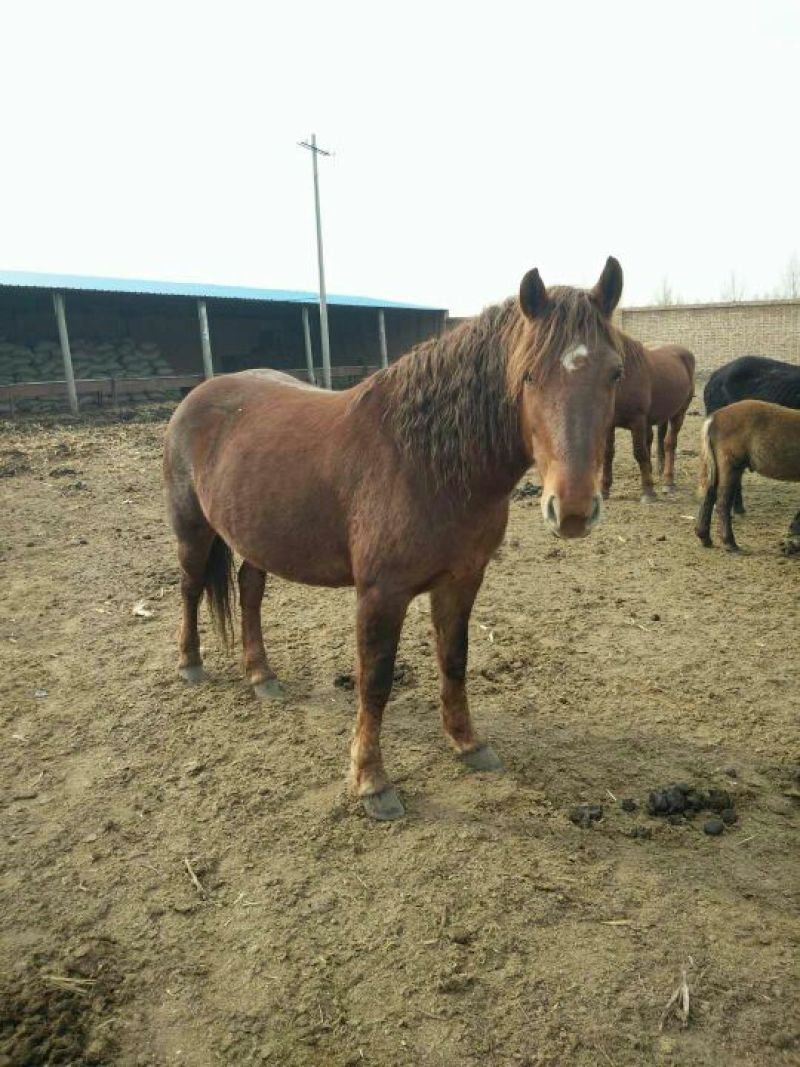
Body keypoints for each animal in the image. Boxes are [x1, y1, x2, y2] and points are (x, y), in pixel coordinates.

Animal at [163, 258, 625, 821]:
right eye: (530, 375)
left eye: (615, 373)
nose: (574, 509)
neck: (425, 461)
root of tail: (196, 397)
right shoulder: (382, 593)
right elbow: (376, 681)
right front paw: (371, 782)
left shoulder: (462, 580)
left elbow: (454, 659)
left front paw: (467, 743)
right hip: (192, 530)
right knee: (189, 588)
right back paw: (190, 665)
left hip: (258, 535)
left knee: (250, 591)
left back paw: (262, 676)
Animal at [601, 331, 695, 502]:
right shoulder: (609, 424)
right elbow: (608, 454)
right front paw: (604, 489)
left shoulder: (637, 421)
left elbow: (639, 452)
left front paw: (648, 492)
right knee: (651, 441)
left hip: (679, 413)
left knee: (669, 443)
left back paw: (668, 482)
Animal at [695, 400, 800, 551]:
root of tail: (715, 417)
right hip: (731, 467)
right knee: (722, 502)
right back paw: (730, 542)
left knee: (709, 496)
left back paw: (705, 538)